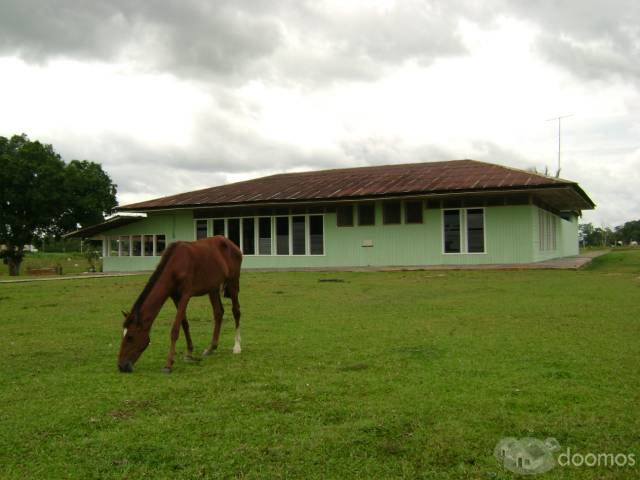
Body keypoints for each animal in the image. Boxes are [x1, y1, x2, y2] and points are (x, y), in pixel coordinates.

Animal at [117, 236, 242, 376]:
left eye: (130, 337)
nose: (121, 366)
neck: (176, 266)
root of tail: (232, 245)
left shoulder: (185, 296)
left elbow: (175, 329)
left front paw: (168, 364)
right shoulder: (175, 297)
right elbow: (184, 324)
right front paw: (189, 353)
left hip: (233, 282)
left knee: (236, 311)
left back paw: (237, 346)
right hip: (213, 288)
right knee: (218, 313)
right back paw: (211, 348)